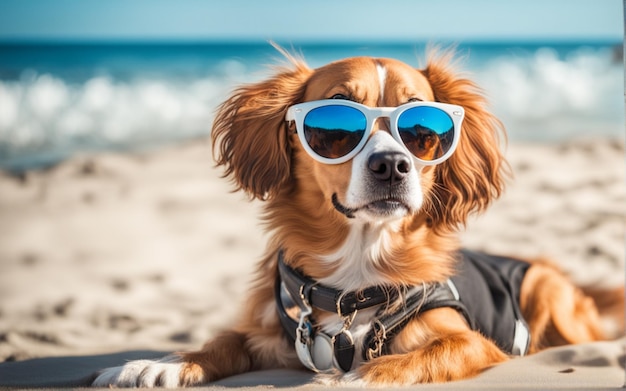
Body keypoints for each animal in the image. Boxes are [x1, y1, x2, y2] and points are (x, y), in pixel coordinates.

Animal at [90, 47, 616, 388]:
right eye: (335, 126)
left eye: (422, 130)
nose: (392, 165)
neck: (358, 272)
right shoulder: (269, 334)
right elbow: (222, 341)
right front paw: (161, 364)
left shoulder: (474, 342)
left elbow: (421, 356)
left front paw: (357, 378)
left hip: (544, 289)